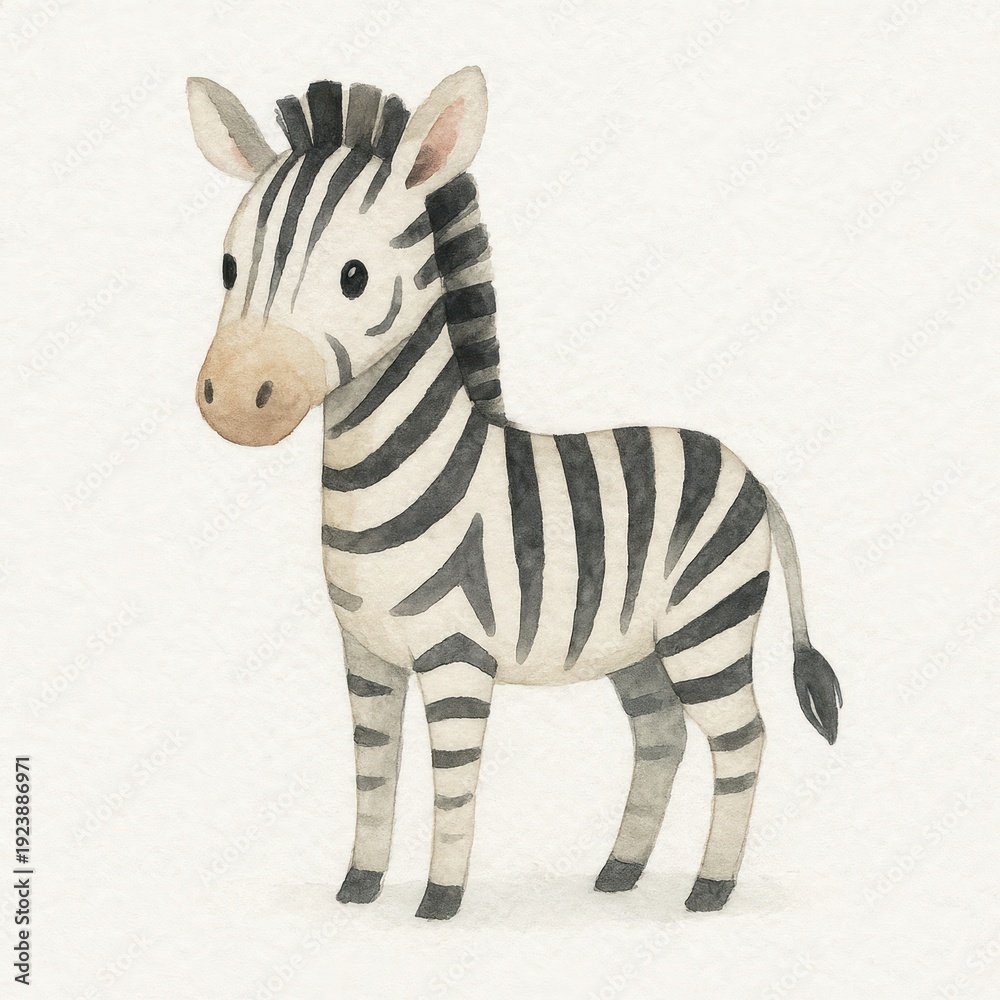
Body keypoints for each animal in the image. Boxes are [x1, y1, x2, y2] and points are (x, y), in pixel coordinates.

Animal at [186, 67, 843, 921]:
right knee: (661, 733)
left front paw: (439, 901)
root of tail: (749, 472)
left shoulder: (457, 656)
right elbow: (373, 774)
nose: (233, 401)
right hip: (637, 645)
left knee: (743, 740)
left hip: (709, 628)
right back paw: (620, 871)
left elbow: (453, 788)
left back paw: (709, 889)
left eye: (353, 277)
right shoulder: (365, 652)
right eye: (228, 268)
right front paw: (359, 886)